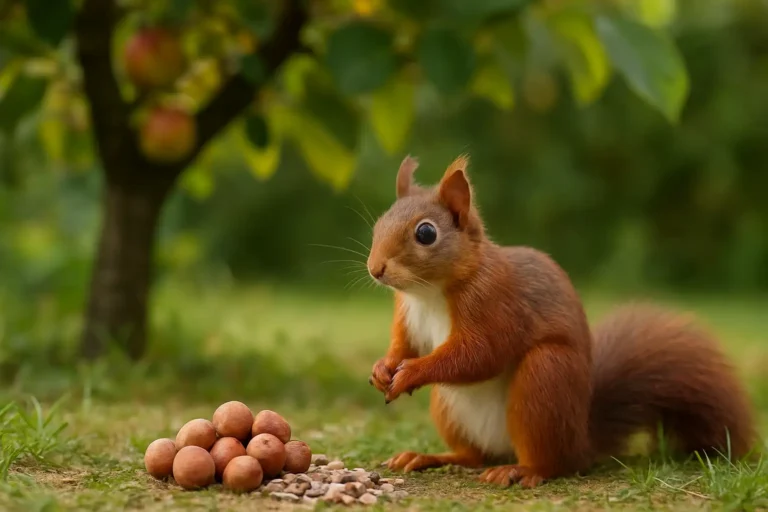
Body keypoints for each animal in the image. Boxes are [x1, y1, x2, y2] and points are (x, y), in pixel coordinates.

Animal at [365, 154, 758, 488]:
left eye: (426, 233)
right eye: (379, 224)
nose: (375, 269)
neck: (429, 292)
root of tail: (581, 441)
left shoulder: (496, 304)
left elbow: (480, 354)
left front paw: (412, 373)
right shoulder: (408, 313)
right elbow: (406, 345)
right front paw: (383, 367)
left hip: (546, 378)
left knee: (551, 463)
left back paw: (522, 471)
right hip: (449, 408)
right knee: (473, 455)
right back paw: (427, 457)